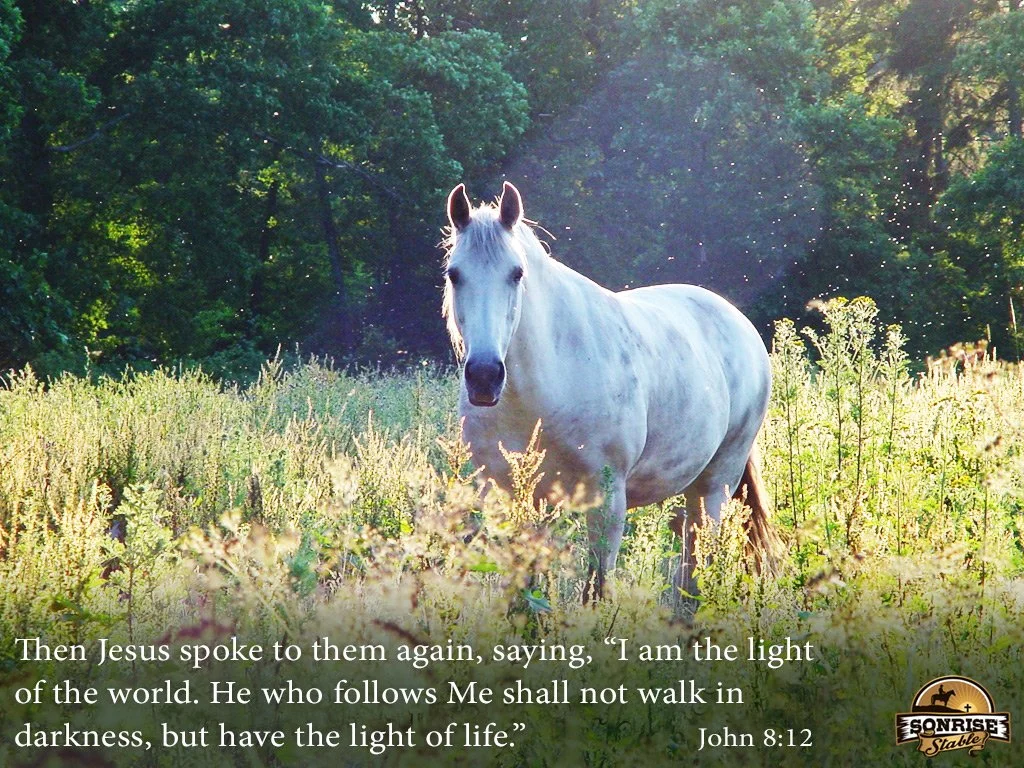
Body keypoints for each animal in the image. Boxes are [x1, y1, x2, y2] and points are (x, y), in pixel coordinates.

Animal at [442, 181, 773, 600]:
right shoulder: (517, 498)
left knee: (701, 562)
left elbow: (595, 589)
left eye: (516, 274)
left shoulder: (607, 500)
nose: (484, 377)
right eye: (454, 274)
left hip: (716, 486)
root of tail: (738, 321)